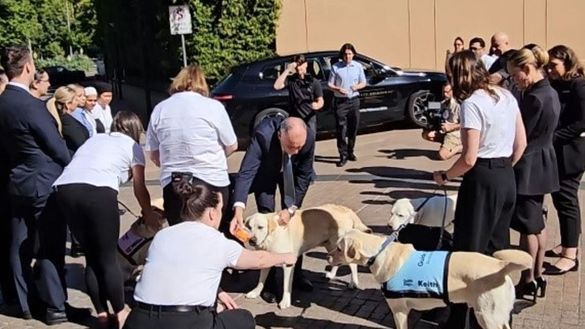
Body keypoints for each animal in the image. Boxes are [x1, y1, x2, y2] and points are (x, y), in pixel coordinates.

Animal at [244, 202, 372, 308]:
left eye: (260, 227)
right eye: (249, 227)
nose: (252, 240)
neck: (271, 236)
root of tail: (346, 209)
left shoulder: (288, 264)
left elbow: (286, 285)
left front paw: (285, 302)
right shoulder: (266, 258)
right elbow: (261, 280)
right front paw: (255, 292)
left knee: (352, 264)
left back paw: (353, 282)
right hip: (332, 245)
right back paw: (331, 274)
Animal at [326, 228, 532, 328]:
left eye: (339, 248)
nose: (328, 257)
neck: (379, 253)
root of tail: (501, 266)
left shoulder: (399, 311)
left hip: (487, 316)